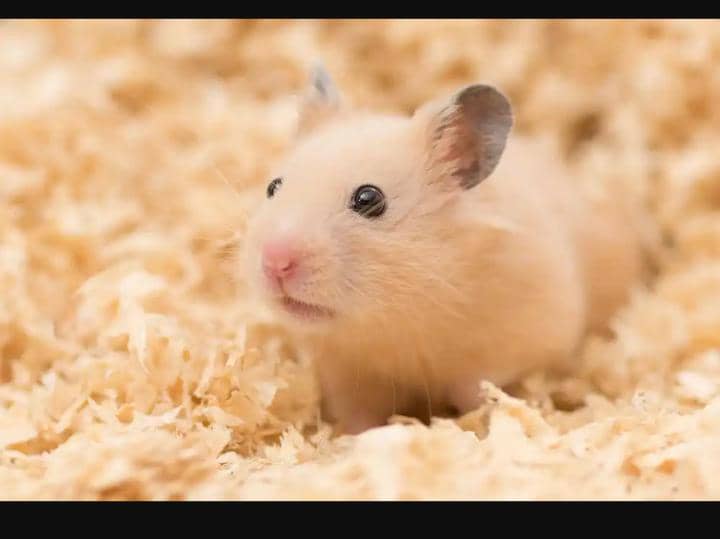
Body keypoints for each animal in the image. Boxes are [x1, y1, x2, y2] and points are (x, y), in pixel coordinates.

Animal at [242, 66, 648, 434]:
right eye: (273, 186)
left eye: (369, 199)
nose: (275, 262)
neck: (399, 317)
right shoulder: (348, 373)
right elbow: (360, 415)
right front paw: (354, 440)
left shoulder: (514, 343)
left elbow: (480, 393)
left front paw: (483, 426)